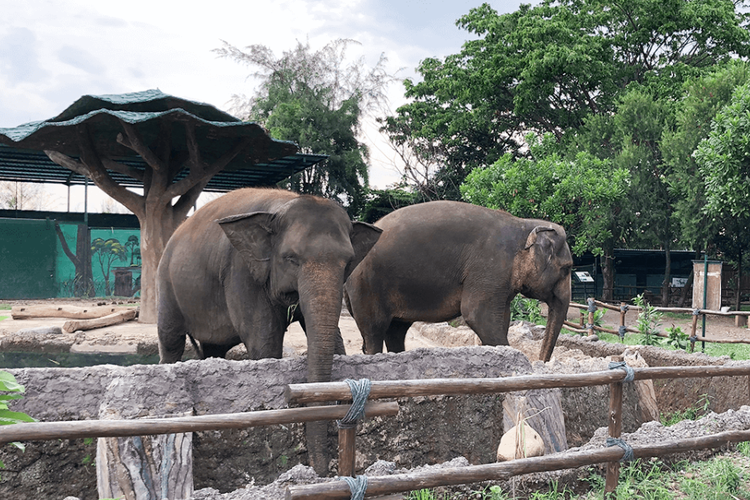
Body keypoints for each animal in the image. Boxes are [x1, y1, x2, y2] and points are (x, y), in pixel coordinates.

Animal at [157, 188, 382, 472]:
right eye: (291, 259)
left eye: (349, 261)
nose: (320, 470)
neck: (282, 204)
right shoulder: (241, 271)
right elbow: (265, 342)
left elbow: (333, 339)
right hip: (166, 284)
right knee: (171, 340)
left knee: (212, 349)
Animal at [346, 201, 576, 362]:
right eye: (567, 268)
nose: (541, 362)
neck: (522, 223)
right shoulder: (490, 266)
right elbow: (477, 314)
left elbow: (502, 318)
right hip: (367, 285)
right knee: (374, 331)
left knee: (396, 330)